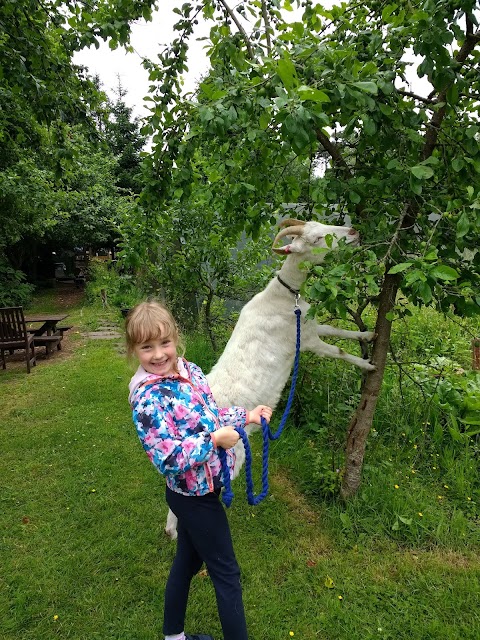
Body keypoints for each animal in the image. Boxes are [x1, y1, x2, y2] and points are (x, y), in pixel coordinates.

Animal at [166, 218, 376, 536]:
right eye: (316, 239)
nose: (353, 232)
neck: (285, 298)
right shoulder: (306, 340)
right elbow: (338, 351)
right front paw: (368, 366)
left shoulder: (312, 326)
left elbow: (338, 331)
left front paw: (369, 334)